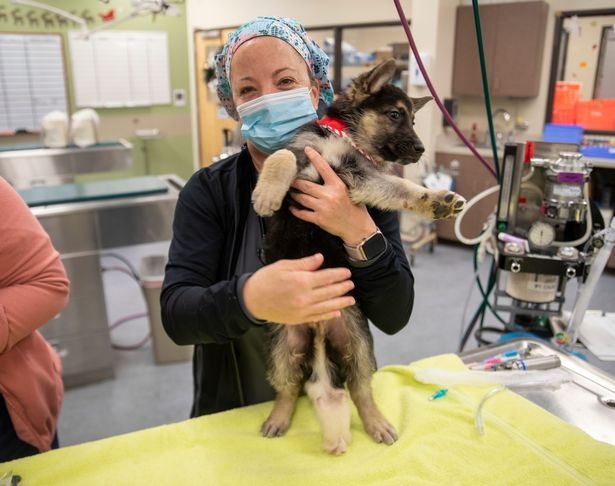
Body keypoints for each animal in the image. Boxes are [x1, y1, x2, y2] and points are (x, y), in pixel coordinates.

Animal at [253, 58, 464, 454]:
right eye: (395, 114)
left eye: (414, 120)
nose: (420, 150)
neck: (344, 139)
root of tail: (319, 328)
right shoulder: (311, 156)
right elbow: (282, 154)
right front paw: (267, 193)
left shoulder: (361, 180)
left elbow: (401, 186)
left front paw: (436, 200)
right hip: (280, 349)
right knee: (288, 388)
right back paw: (278, 418)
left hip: (360, 344)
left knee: (361, 389)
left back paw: (377, 422)